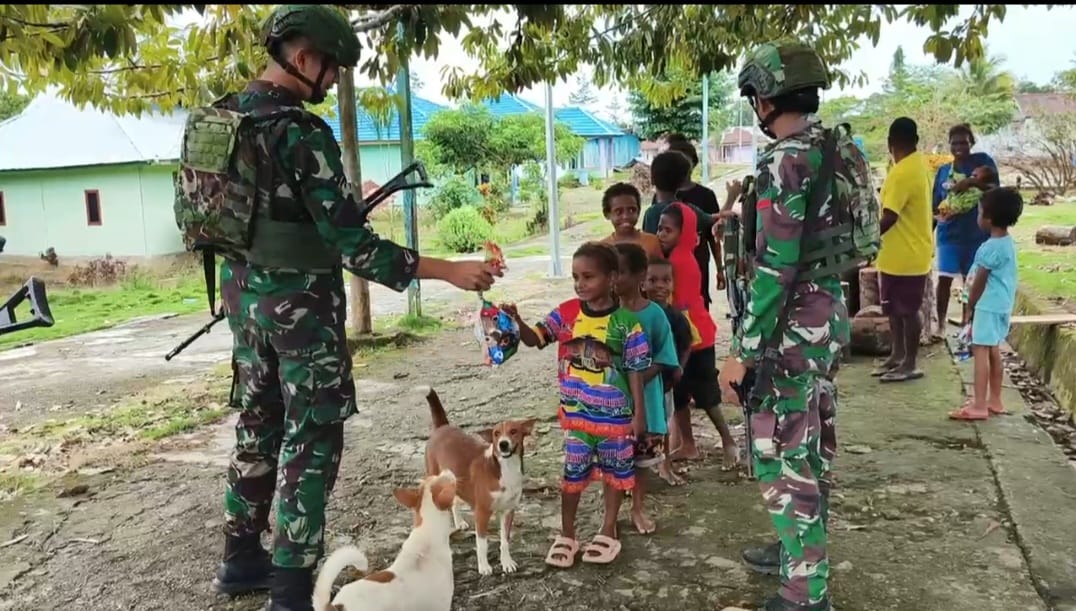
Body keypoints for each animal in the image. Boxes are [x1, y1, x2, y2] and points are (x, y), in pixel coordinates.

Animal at [421, 389, 535, 576]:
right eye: (496, 434)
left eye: (513, 431)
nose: (503, 444)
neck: (504, 469)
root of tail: (442, 427)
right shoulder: (482, 513)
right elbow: (482, 544)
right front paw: (484, 567)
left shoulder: (508, 511)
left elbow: (505, 541)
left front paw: (506, 562)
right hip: (434, 476)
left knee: (454, 501)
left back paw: (459, 522)